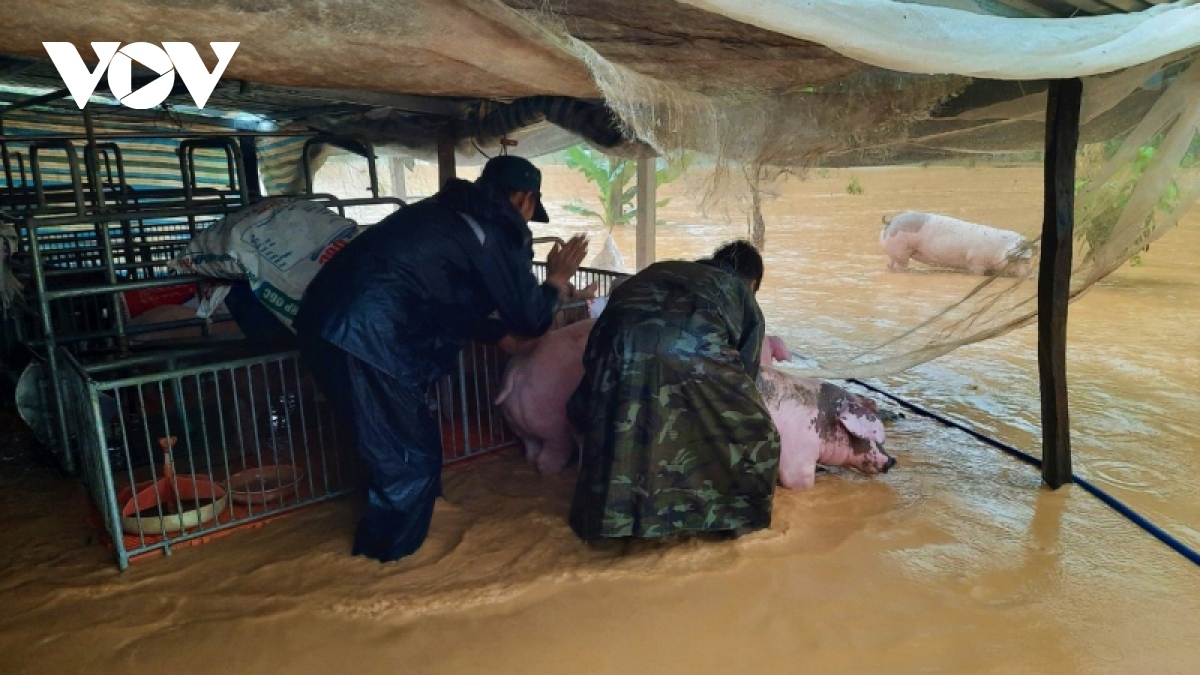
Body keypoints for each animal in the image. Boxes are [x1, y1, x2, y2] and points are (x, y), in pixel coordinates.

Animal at [878, 208, 1036, 275]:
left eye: (1028, 259)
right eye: (1017, 259)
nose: (1026, 275)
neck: (998, 249)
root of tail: (891, 221)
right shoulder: (975, 261)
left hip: (893, 252)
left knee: (889, 264)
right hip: (901, 251)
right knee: (900, 266)